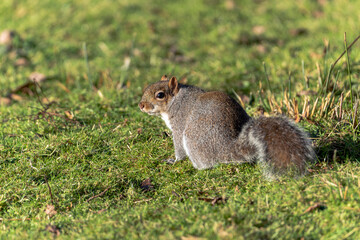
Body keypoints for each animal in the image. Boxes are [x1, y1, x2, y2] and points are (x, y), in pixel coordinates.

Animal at [139, 76, 316, 179]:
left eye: (160, 95)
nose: (141, 105)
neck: (176, 100)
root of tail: (227, 148)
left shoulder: (179, 125)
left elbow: (179, 149)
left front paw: (174, 160)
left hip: (191, 137)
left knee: (207, 164)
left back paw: (197, 168)